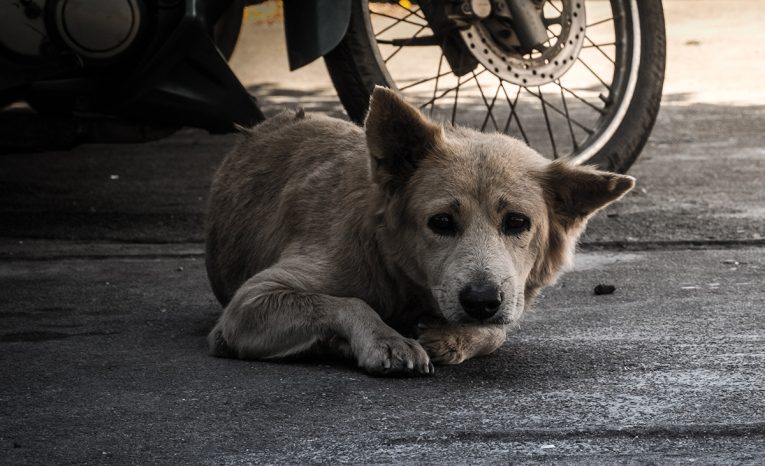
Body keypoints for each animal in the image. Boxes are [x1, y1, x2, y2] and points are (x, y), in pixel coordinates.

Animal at [204, 87, 632, 376]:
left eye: (517, 222)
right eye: (441, 222)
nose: (481, 301)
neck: (402, 281)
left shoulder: (506, 303)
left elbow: (498, 331)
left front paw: (452, 337)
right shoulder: (249, 305)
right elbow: (345, 303)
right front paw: (387, 339)